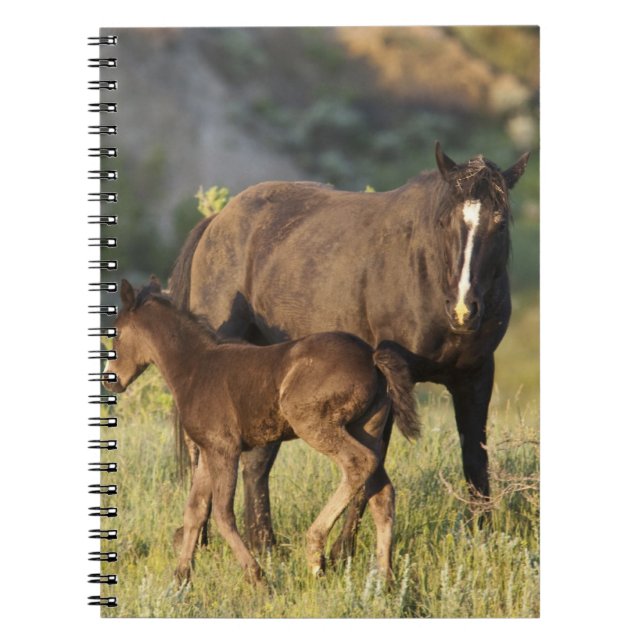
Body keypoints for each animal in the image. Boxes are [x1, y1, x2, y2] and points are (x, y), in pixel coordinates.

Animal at [104, 277, 420, 584]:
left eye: (116, 333)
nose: (111, 380)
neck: (195, 368)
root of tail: (372, 357)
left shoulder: (225, 449)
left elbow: (222, 513)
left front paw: (257, 576)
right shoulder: (208, 451)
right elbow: (195, 510)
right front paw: (181, 579)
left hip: (314, 423)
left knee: (358, 463)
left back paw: (315, 551)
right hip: (368, 427)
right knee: (382, 493)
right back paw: (385, 580)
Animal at [170, 142, 529, 556]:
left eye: (499, 223)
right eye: (445, 223)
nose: (463, 309)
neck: (426, 271)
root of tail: (217, 220)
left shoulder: (475, 377)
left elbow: (475, 460)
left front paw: (481, 540)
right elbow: (374, 460)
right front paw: (343, 550)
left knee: (257, 461)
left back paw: (264, 544)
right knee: (204, 451)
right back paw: (202, 541)